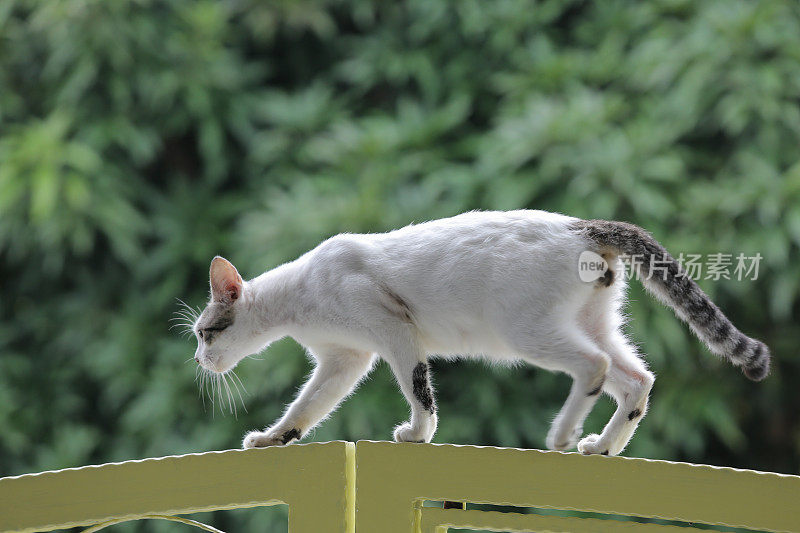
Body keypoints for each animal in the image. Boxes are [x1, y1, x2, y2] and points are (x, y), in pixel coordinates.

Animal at [188, 208, 768, 454]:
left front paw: (418, 434)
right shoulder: (345, 360)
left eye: (205, 334)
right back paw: (602, 445)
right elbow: (305, 408)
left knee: (596, 368)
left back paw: (563, 436)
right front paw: (272, 438)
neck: (302, 296)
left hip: (525, 332)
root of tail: (583, 226)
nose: (198, 360)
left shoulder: (395, 335)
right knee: (636, 380)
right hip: (594, 323)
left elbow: (419, 390)